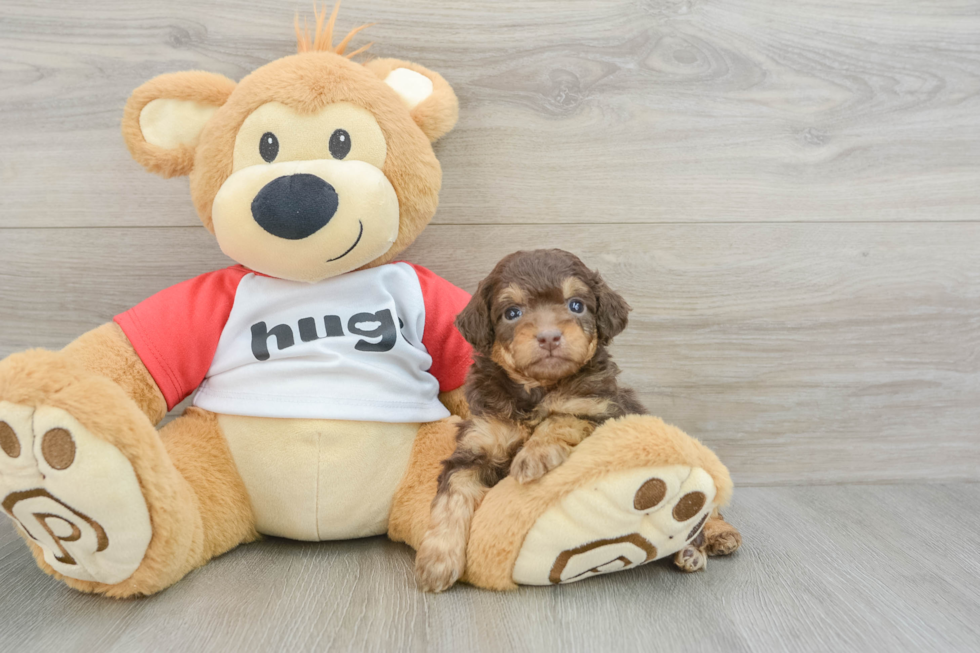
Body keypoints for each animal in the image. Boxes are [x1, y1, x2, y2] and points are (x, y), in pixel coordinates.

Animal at [414, 248, 720, 592]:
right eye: (512, 313)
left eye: (576, 305)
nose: (549, 337)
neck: (537, 390)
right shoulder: (476, 444)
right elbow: (451, 497)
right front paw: (436, 562)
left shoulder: (600, 412)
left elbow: (561, 418)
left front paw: (532, 456)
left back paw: (696, 549)